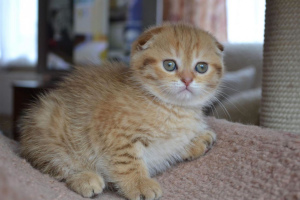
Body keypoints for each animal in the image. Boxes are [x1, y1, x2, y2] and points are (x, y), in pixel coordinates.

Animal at [18, 22, 224, 199]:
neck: (174, 109)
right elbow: (128, 161)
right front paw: (140, 184)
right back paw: (85, 178)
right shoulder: (114, 134)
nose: (187, 80)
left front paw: (198, 140)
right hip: (48, 123)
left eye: (201, 67)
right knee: (53, 165)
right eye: (169, 65)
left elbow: (175, 145)